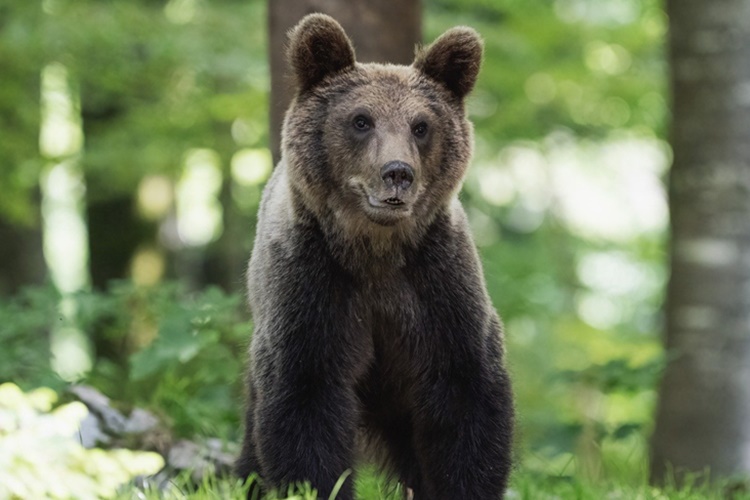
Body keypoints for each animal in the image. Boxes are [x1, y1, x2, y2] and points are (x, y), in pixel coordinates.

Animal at [238, 13, 516, 498]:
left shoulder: (438, 288)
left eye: (421, 125)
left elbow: (466, 396)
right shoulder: (312, 290)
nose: (397, 173)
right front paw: (317, 484)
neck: (376, 252)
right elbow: (305, 401)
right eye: (361, 120)